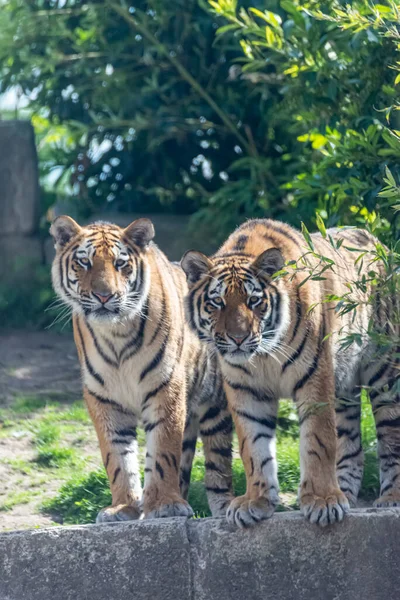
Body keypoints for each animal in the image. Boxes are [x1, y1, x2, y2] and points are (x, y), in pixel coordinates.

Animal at [50, 214, 233, 520]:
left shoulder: (166, 387)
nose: (104, 296)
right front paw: (122, 507)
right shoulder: (103, 397)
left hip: (216, 404)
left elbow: (162, 451)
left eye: (120, 263)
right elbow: (117, 458)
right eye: (84, 262)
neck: (116, 333)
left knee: (218, 463)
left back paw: (224, 508)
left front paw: (164, 505)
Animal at [182, 218, 400, 528]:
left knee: (391, 439)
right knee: (352, 447)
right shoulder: (246, 391)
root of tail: (378, 243)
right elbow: (253, 448)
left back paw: (390, 498)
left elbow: (318, 442)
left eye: (253, 301)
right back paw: (346, 493)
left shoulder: (314, 380)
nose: (238, 338)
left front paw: (323, 501)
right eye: (217, 303)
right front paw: (255, 501)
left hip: (385, 374)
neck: (263, 355)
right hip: (345, 386)